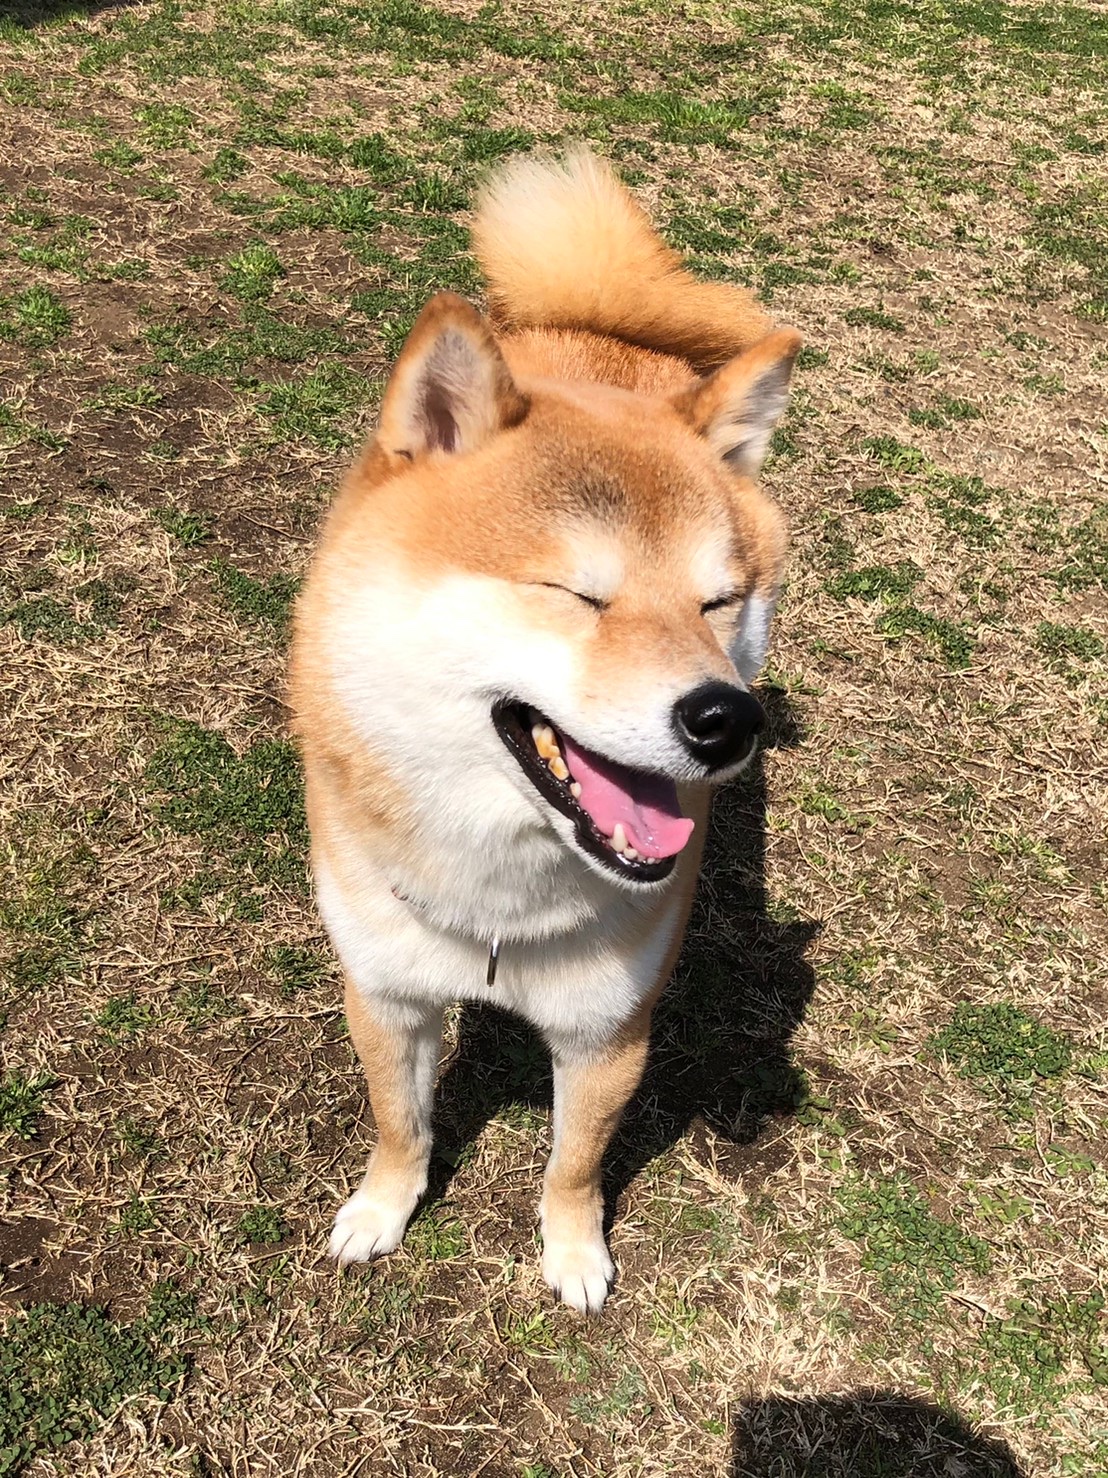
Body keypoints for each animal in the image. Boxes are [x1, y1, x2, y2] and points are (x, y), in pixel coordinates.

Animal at [289, 149, 801, 1313]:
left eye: (717, 603)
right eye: (577, 595)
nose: (725, 719)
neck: (499, 911)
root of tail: (595, 328)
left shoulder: (608, 1029)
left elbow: (574, 1163)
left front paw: (573, 1253)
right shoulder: (384, 991)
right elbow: (401, 1123)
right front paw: (381, 1209)